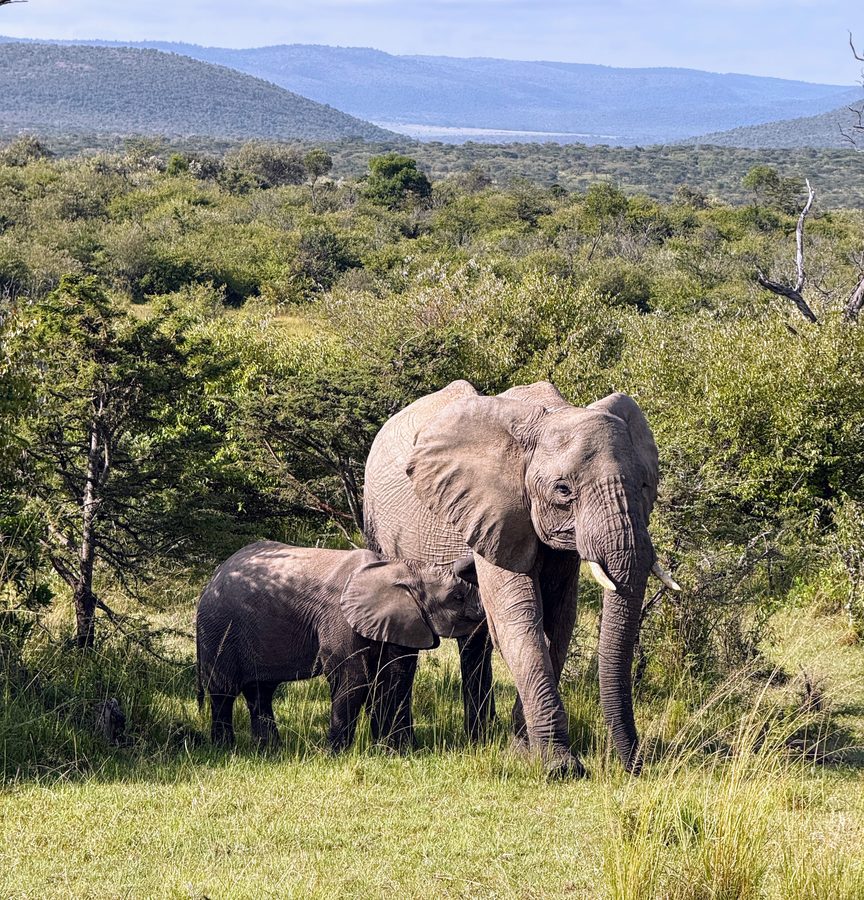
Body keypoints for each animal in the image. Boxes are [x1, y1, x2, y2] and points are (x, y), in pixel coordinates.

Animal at [196, 540, 483, 752]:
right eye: (457, 597)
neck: (400, 566)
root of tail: (213, 577)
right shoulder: (339, 616)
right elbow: (354, 677)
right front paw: (335, 754)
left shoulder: (405, 619)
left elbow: (395, 677)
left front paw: (398, 752)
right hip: (218, 628)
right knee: (223, 691)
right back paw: (226, 748)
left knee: (260, 691)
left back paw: (270, 749)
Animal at [363, 380, 679, 776]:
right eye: (563, 491)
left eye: (644, 485)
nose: (635, 766)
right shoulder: (495, 512)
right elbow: (520, 618)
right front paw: (560, 767)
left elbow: (559, 621)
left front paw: (523, 750)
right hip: (379, 525)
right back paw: (399, 744)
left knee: (476, 640)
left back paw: (479, 738)